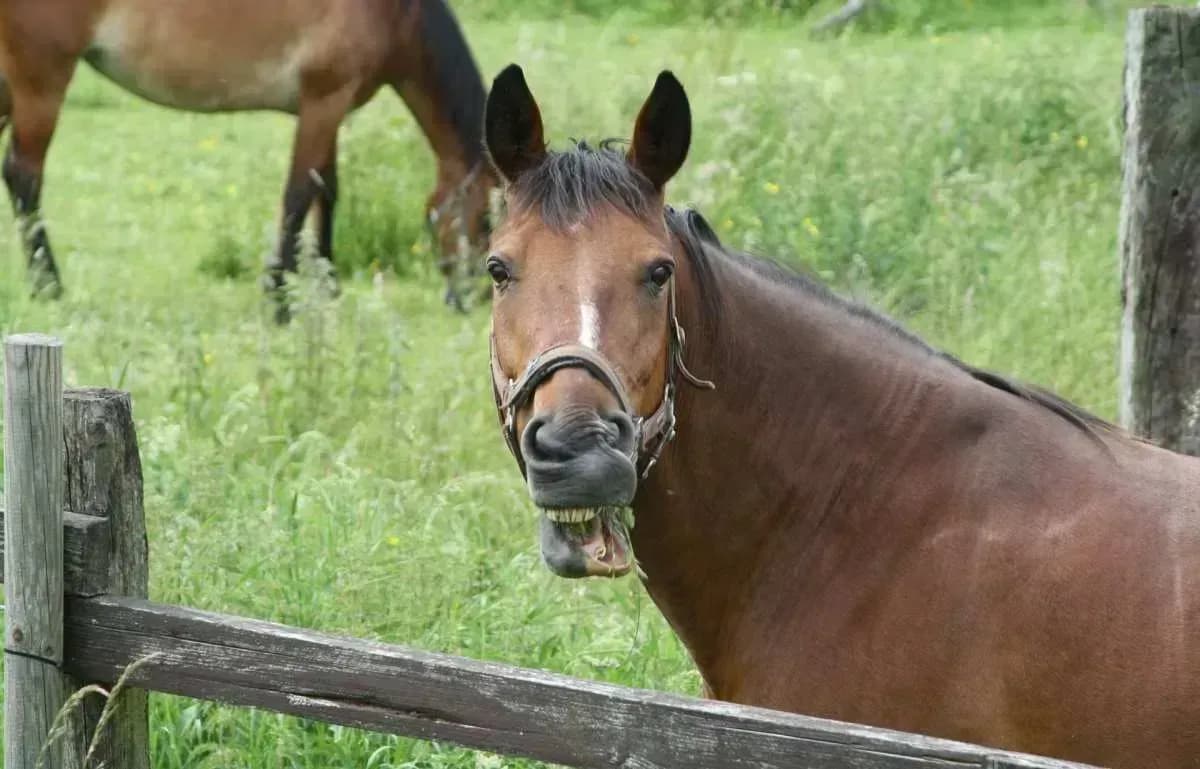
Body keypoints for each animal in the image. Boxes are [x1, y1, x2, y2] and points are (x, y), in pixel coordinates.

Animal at [0, 0, 496, 316]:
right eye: (490, 219)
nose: (472, 299)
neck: (397, 12)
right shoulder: (323, 102)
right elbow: (298, 196)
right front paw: (278, 299)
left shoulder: (329, 109)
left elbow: (326, 193)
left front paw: (327, 288)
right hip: (41, 82)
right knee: (24, 176)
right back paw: (49, 285)